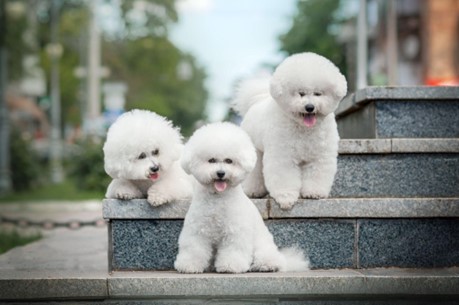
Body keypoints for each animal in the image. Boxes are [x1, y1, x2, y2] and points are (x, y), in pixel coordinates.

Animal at [174, 121, 310, 274]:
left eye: (229, 161)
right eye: (211, 160)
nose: (220, 173)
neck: (218, 199)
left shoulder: (235, 231)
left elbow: (234, 249)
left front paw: (230, 266)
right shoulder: (197, 230)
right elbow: (194, 248)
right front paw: (189, 265)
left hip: (262, 246)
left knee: (271, 258)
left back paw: (267, 265)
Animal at [234, 52, 348, 209]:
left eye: (318, 94)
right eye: (301, 93)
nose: (310, 107)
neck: (304, 128)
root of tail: (256, 102)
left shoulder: (320, 156)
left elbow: (316, 173)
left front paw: (313, 193)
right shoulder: (283, 155)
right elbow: (284, 176)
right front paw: (286, 197)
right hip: (254, 149)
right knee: (255, 171)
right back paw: (252, 191)